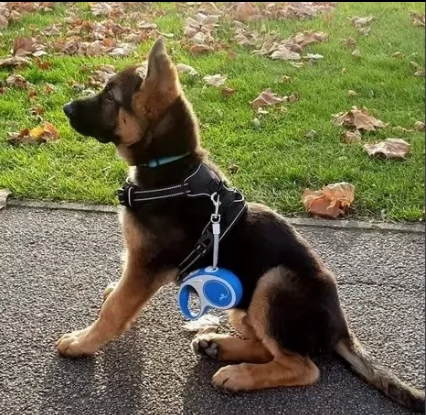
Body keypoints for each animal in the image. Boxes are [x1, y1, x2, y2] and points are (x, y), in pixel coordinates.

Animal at [57, 37, 426, 414]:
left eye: (109, 96)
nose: (66, 108)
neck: (171, 170)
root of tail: (341, 330)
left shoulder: (146, 266)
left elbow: (115, 310)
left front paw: (82, 342)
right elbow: (118, 294)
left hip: (273, 283)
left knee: (302, 366)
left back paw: (237, 374)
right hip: (242, 307)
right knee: (267, 346)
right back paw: (217, 346)